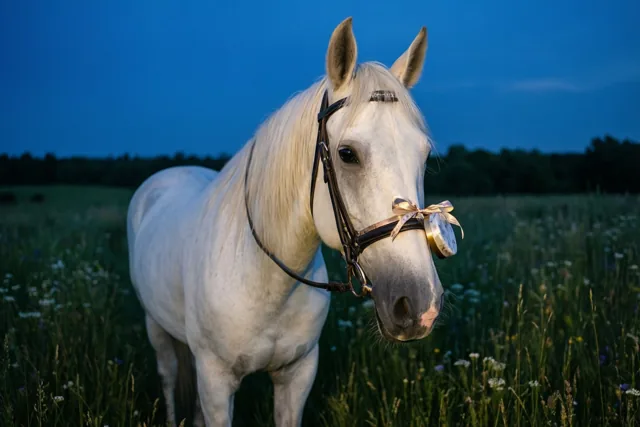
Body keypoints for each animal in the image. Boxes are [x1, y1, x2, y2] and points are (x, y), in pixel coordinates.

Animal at [127, 17, 457, 427]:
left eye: (424, 156)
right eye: (347, 154)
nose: (419, 306)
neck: (266, 282)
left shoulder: (296, 377)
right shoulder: (216, 382)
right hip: (157, 331)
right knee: (170, 379)